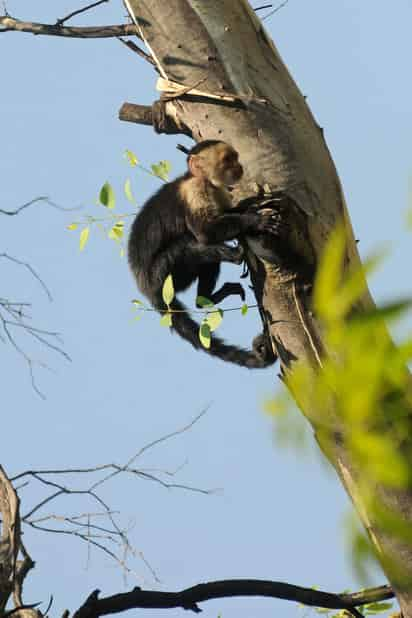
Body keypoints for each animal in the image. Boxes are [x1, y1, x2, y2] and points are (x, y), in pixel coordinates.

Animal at [128, 141, 276, 366]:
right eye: (227, 160)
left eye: (235, 157)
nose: (239, 166)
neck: (204, 181)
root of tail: (147, 290)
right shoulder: (195, 190)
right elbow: (204, 232)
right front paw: (254, 220)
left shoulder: (218, 191)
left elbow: (227, 213)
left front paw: (249, 205)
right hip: (163, 277)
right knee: (187, 243)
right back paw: (233, 257)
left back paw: (205, 298)